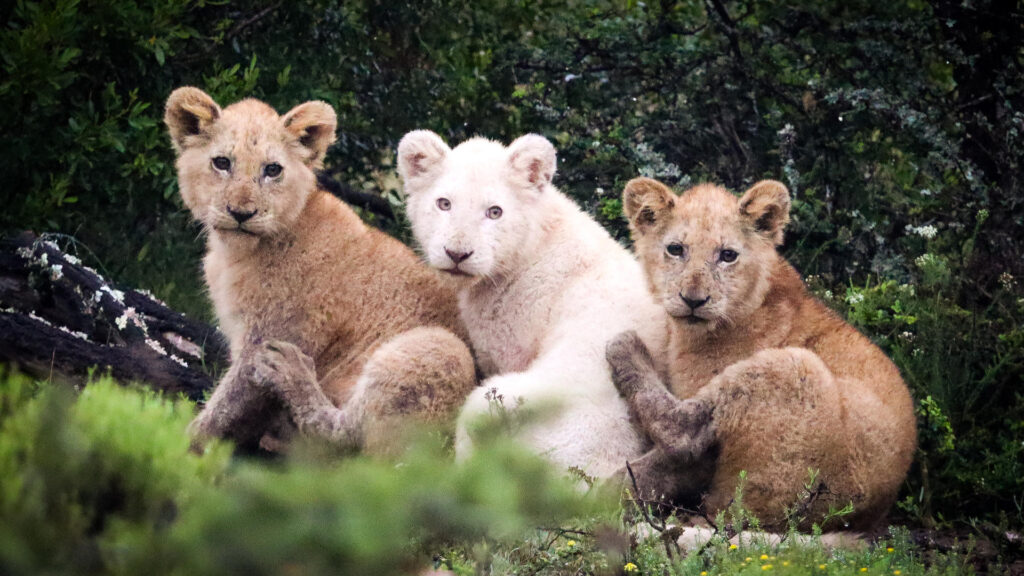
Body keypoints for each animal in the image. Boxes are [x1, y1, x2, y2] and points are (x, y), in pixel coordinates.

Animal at [164, 88, 476, 454]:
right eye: (222, 163)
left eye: (273, 169)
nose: (241, 213)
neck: (237, 254)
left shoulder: (271, 334)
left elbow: (226, 405)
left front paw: (182, 445)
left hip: (443, 349)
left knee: (353, 440)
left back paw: (292, 374)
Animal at [605, 177, 917, 529]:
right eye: (675, 249)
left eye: (728, 255)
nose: (694, 300)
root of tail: (862, 517)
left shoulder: (706, 455)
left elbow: (662, 464)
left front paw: (596, 500)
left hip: (795, 369)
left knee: (682, 433)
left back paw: (626, 350)